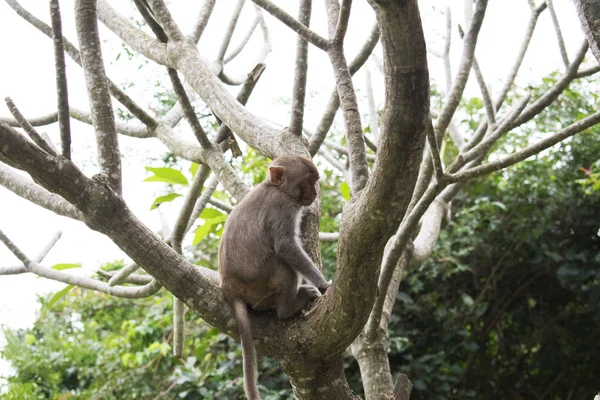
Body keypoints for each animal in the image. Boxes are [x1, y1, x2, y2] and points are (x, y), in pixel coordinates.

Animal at [219, 154, 330, 400]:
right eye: (308, 181)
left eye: (314, 181)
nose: (314, 193)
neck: (274, 187)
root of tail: (229, 288)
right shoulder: (284, 207)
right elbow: (286, 246)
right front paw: (322, 283)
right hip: (260, 284)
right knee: (283, 265)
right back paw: (288, 307)